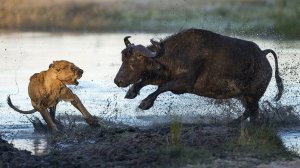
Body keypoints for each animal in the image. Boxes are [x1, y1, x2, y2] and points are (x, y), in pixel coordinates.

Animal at [114, 28, 284, 123]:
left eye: (134, 61)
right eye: (123, 58)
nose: (117, 81)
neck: (177, 53)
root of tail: (263, 54)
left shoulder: (183, 84)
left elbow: (161, 87)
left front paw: (145, 103)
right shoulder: (163, 75)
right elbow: (146, 80)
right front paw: (131, 92)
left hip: (251, 95)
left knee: (252, 112)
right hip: (244, 96)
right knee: (251, 111)